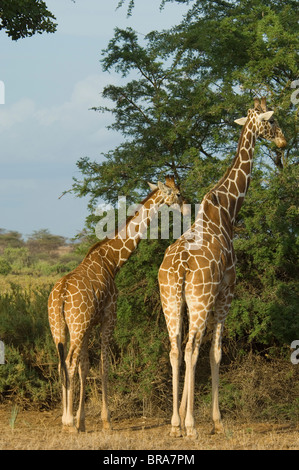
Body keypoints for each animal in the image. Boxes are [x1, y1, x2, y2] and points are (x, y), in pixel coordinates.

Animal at [48, 174, 184, 432]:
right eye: (177, 193)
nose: (184, 204)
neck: (112, 261)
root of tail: (60, 294)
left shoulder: (89, 324)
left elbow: (84, 366)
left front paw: (82, 421)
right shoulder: (109, 316)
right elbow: (104, 365)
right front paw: (105, 421)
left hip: (59, 326)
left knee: (62, 363)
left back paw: (65, 420)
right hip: (75, 325)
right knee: (68, 362)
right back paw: (67, 422)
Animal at [159, 97, 288, 438]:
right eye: (273, 121)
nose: (283, 141)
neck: (229, 208)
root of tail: (178, 268)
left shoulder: (199, 299)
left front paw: (184, 416)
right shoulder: (226, 292)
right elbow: (215, 351)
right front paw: (215, 419)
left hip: (172, 300)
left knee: (176, 349)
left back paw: (175, 424)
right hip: (200, 299)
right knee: (191, 349)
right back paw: (191, 426)